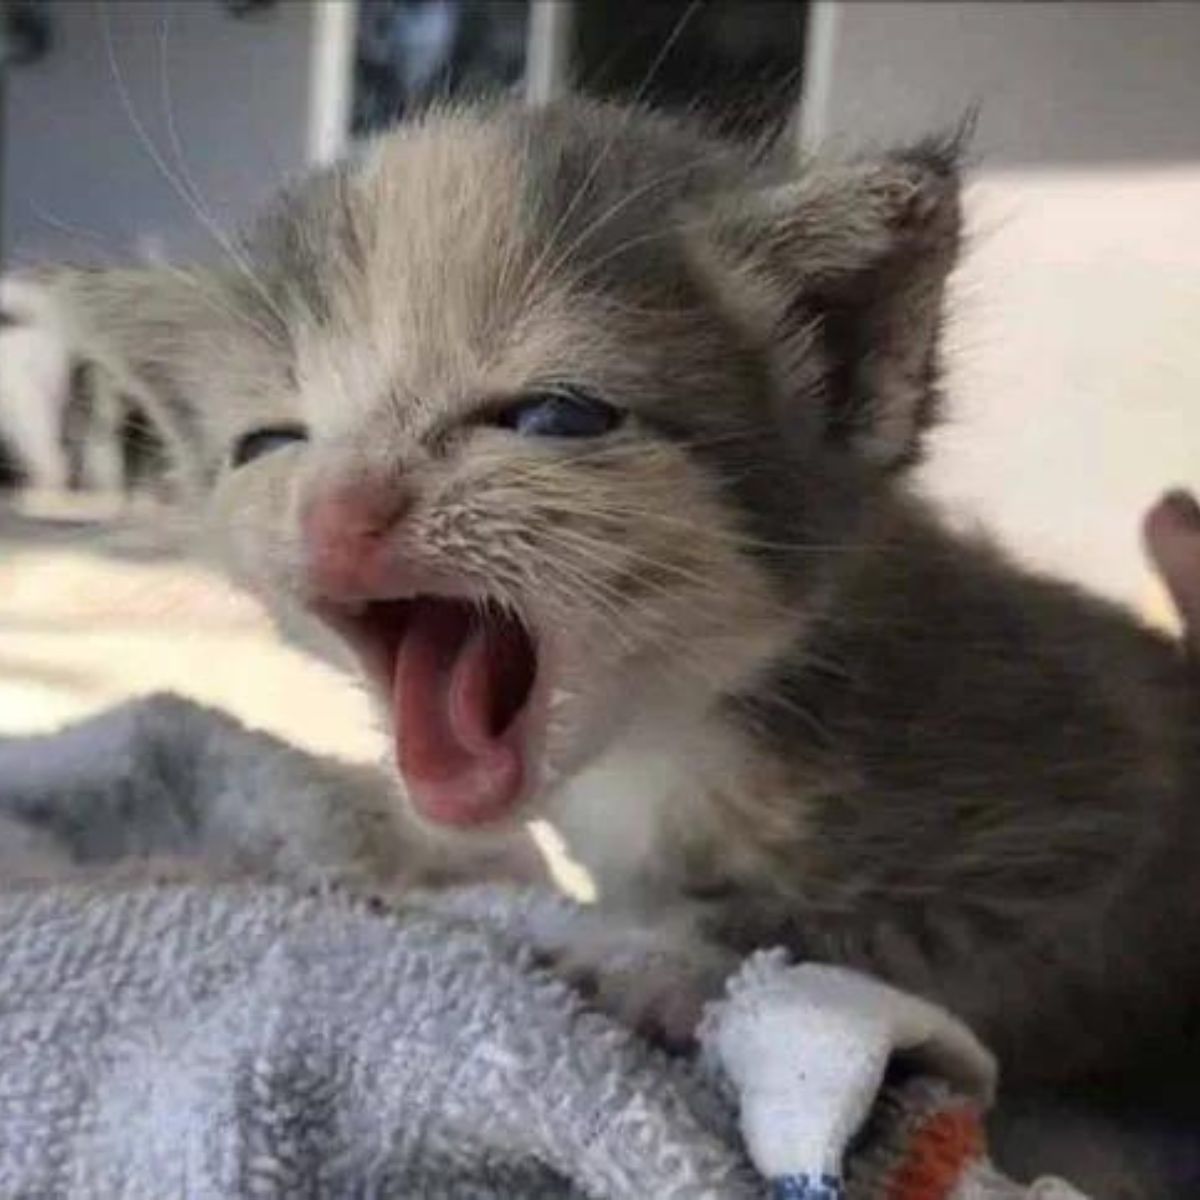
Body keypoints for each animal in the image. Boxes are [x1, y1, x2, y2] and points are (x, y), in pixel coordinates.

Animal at [16, 100, 1200, 1123]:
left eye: (552, 418)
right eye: (269, 444)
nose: (338, 512)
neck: (673, 735)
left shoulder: (1096, 822)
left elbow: (878, 940)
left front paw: (664, 965)